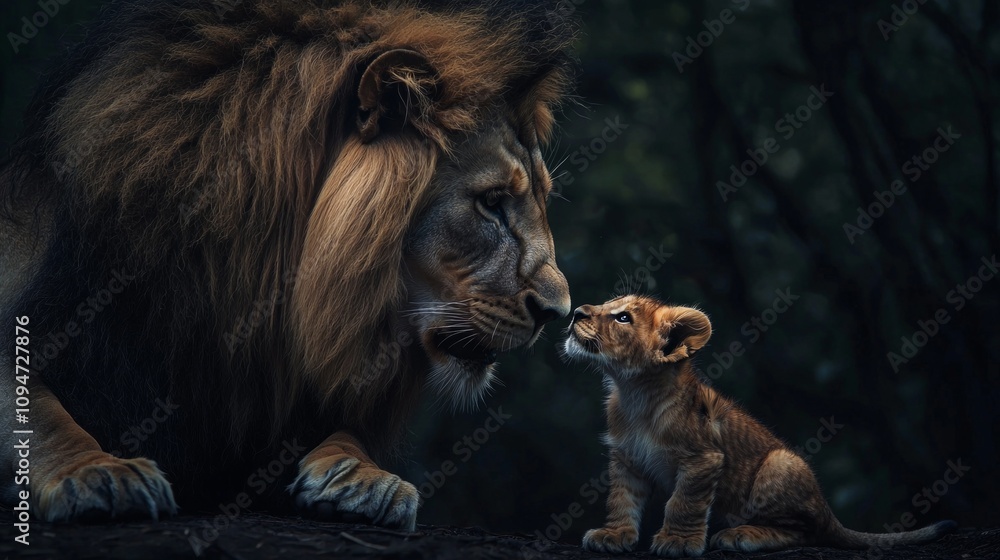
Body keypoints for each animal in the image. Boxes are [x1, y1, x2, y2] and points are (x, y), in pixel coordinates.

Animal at [0, 0, 574, 531]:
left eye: (540, 198)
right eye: (492, 203)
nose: (559, 312)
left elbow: (343, 430)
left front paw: (364, 477)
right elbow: (36, 412)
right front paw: (98, 471)